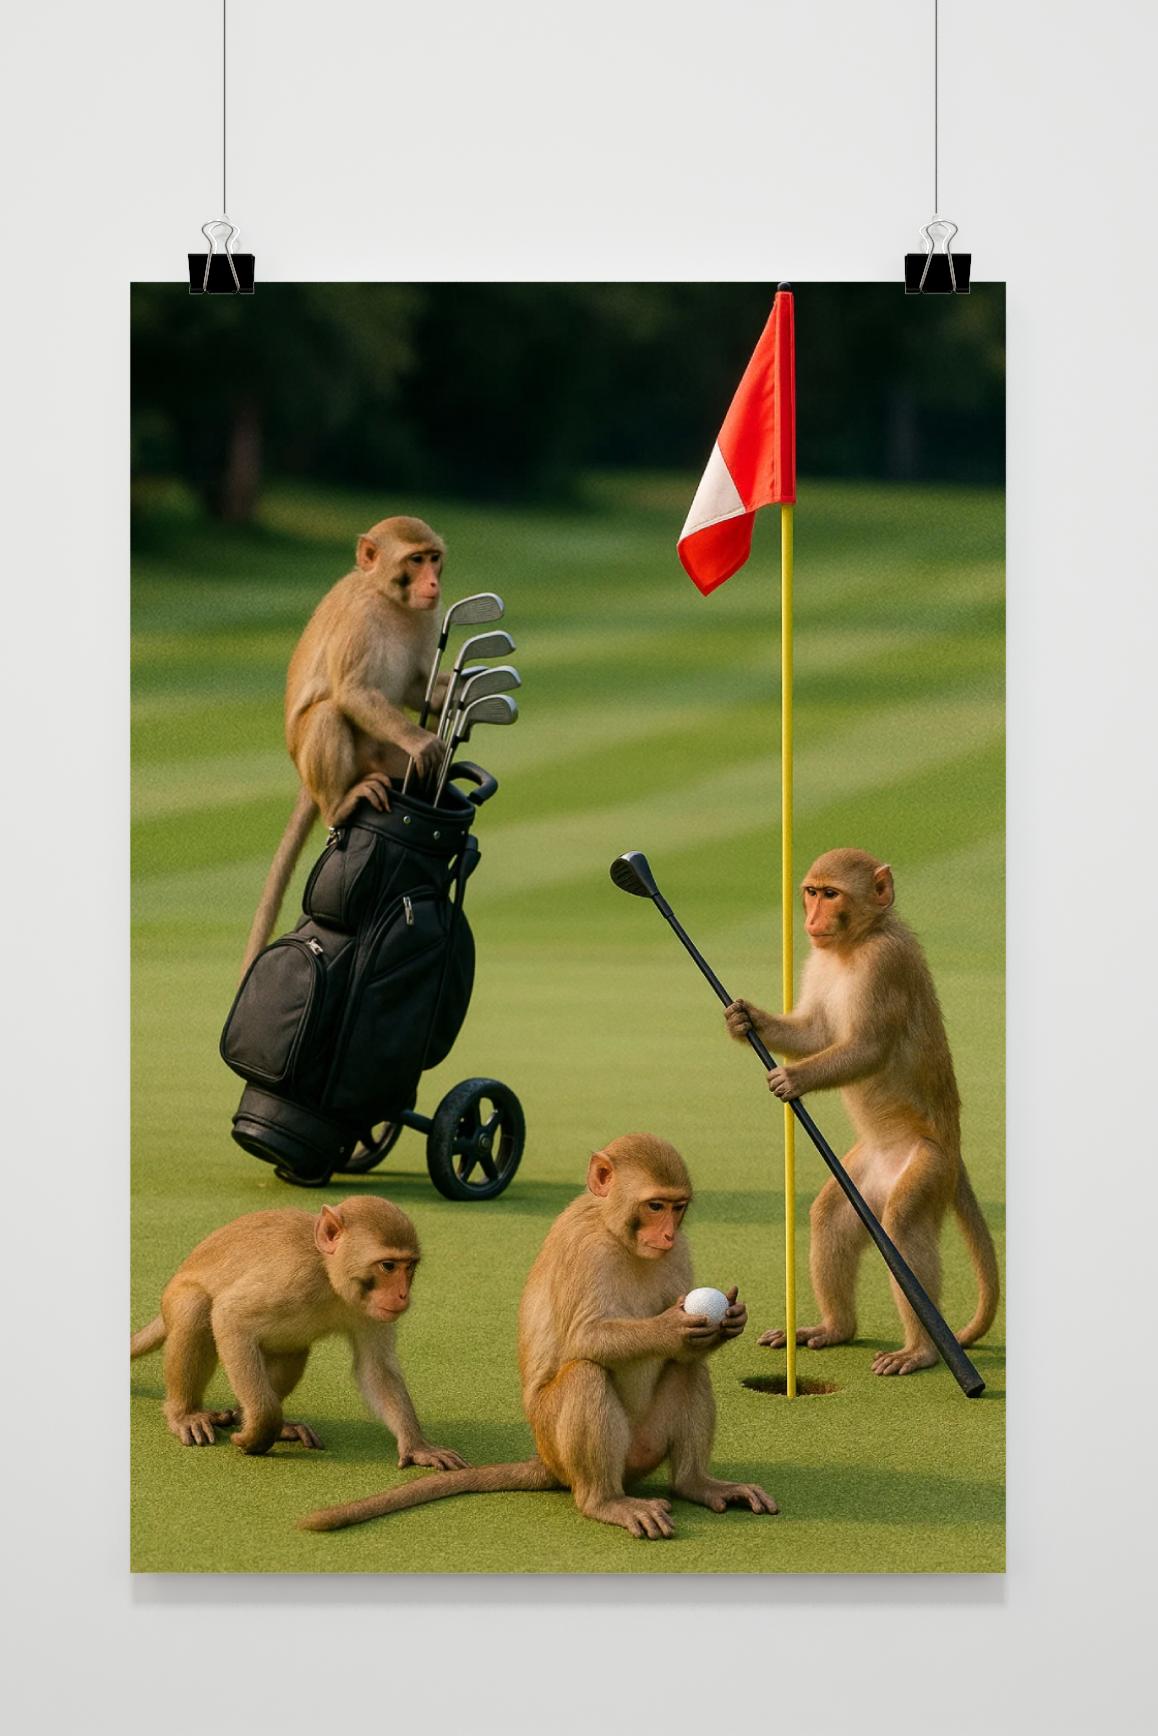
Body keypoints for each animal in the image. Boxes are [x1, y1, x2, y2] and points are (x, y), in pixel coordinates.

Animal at [131, 1195, 468, 1465]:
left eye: (409, 1267)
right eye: (388, 1266)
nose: (402, 1296)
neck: (329, 1277)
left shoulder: (370, 1312)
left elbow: (376, 1369)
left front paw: (418, 1446)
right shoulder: (293, 1277)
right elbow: (229, 1318)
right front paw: (261, 1427)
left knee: (294, 1348)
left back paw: (254, 1419)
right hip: (175, 1298)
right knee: (197, 1308)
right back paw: (186, 1413)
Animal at [241, 515, 450, 974]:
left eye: (434, 558)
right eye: (415, 560)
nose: (433, 582)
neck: (386, 597)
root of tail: (308, 781)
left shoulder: (427, 617)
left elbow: (416, 689)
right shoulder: (360, 619)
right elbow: (353, 692)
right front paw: (421, 742)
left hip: (381, 757)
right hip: (330, 761)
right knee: (328, 713)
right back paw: (339, 805)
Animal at [300, 1134, 778, 1538]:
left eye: (678, 1208)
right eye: (655, 1205)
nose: (667, 1232)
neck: (613, 1231)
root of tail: (548, 1463)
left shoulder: (679, 1252)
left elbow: (688, 1350)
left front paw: (729, 1322)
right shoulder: (584, 1249)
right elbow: (585, 1340)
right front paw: (670, 1328)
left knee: (688, 1367)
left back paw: (695, 1483)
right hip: (559, 1445)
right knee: (586, 1374)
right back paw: (605, 1502)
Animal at [723, 847, 999, 1377]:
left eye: (832, 894)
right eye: (812, 892)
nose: (813, 917)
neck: (854, 945)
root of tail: (954, 1151)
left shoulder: (883, 963)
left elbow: (868, 1047)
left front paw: (794, 1079)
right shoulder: (818, 960)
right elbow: (814, 1032)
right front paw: (745, 1019)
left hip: (929, 1167)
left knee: (903, 1229)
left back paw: (921, 1349)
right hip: (864, 1176)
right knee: (830, 1217)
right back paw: (835, 1328)